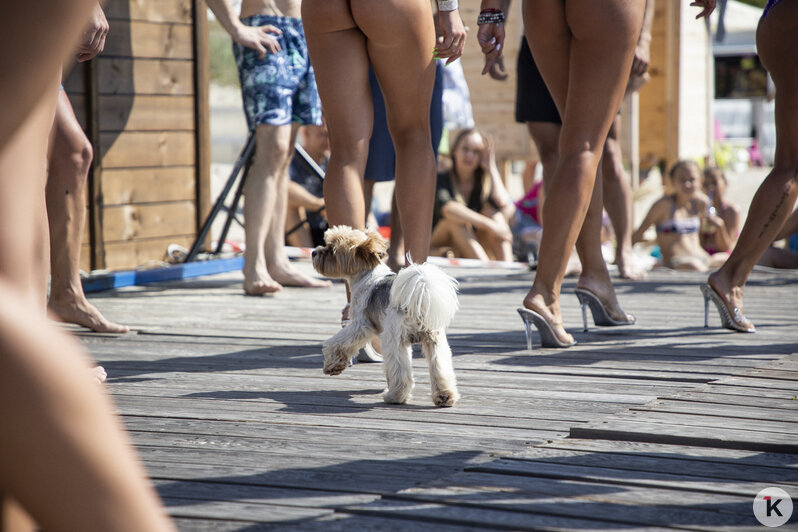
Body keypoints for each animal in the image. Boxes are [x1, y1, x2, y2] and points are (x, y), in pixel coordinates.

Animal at [314, 225, 462, 408]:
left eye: (331, 250)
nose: (314, 252)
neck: (367, 276)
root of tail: (416, 299)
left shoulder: (361, 326)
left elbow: (338, 343)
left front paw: (333, 365)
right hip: (435, 342)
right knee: (440, 368)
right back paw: (444, 396)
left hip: (394, 339)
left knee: (402, 374)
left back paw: (394, 396)